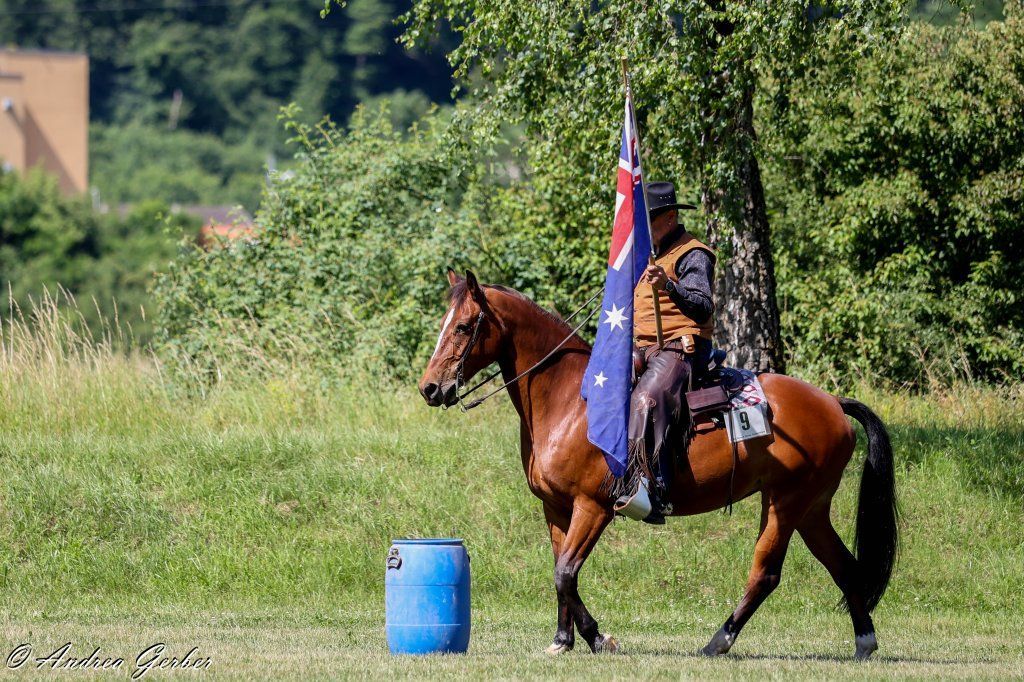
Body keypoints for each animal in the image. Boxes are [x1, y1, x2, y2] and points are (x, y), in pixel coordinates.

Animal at [418, 269, 898, 660]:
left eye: (464, 326)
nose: (430, 388)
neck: (571, 400)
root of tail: (832, 402)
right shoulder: (555, 507)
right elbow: (559, 573)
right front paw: (562, 640)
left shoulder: (593, 507)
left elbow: (566, 572)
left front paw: (598, 638)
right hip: (811, 508)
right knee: (844, 567)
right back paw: (864, 643)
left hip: (785, 503)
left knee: (766, 573)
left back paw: (718, 641)